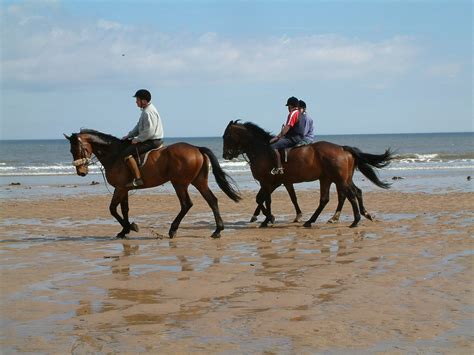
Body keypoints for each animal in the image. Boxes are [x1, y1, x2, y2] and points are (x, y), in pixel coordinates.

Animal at [65, 129, 241, 239]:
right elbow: (124, 209)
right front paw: (125, 230)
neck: (114, 155)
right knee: (212, 200)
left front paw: (129, 228)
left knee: (186, 204)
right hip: (198, 181)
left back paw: (173, 230)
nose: (81, 172)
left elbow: (113, 209)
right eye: (70, 151)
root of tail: (196, 148)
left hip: (179, 183)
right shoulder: (124, 188)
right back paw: (217, 231)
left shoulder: (120, 188)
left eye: (78, 149)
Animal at [222, 121, 392, 228]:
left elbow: (263, 199)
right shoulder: (279, 182)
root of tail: (343, 148)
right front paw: (268, 218)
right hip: (332, 179)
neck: (262, 150)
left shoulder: (267, 182)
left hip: (339, 180)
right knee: (341, 196)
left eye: (226, 136)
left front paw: (268, 219)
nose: (225, 155)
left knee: (348, 195)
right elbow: (274, 198)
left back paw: (354, 220)